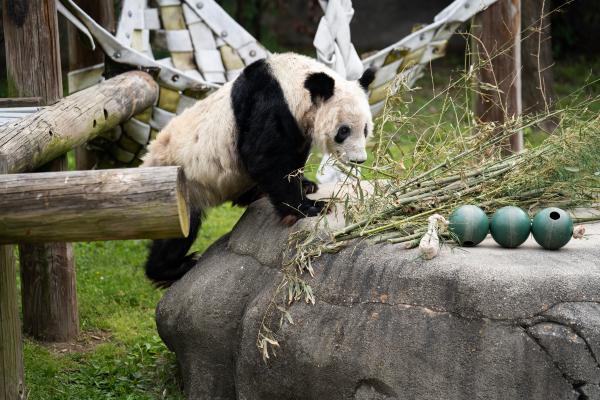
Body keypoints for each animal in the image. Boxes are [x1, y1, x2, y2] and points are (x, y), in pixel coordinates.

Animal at [142, 53, 376, 284]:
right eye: (344, 131)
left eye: (365, 129)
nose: (359, 160)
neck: (292, 80)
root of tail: (148, 161)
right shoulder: (269, 102)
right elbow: (264, 158)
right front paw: (310, 207)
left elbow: (291, 158)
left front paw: (306, 185)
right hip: (180, 185)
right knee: (178, 231)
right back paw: (171, 268)